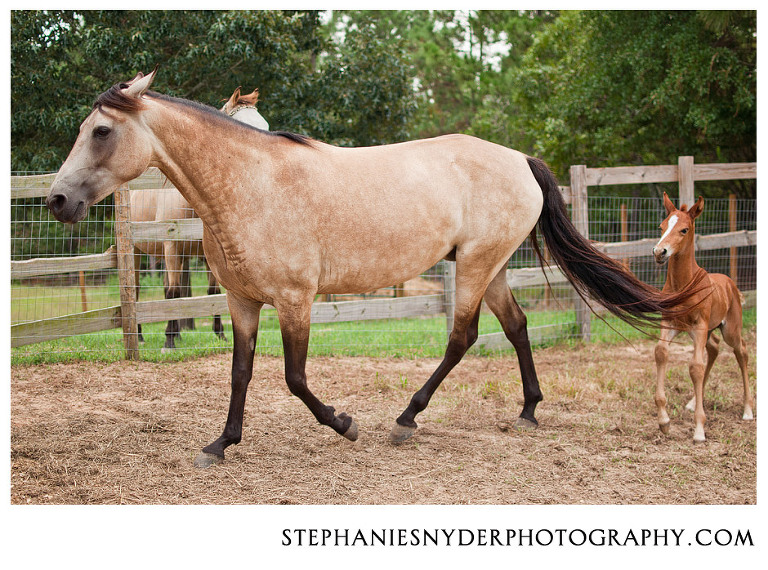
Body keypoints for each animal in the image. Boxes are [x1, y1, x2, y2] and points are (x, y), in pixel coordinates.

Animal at [130, 86, 270, 351]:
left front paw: (220, 334)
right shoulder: (171, 247)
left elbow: (211, 292)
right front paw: (168, 341)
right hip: (138, 252)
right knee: (138, 289)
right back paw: (141, 336)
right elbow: (173, 293)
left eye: (265, 126)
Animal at [652, 192, 754, 443]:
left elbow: (695, 366)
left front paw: (699, 429)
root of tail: (730, 283)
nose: (659, 252)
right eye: (662, 227)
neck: (683, 284)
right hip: (707, 332)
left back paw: (748, 410)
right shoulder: (670, 323)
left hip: (729, 329)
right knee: (714, 348)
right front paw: (664, 421)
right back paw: (691, 402)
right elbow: (661, 353)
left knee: (741, 350)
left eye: (684, 229)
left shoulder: (698, 325)